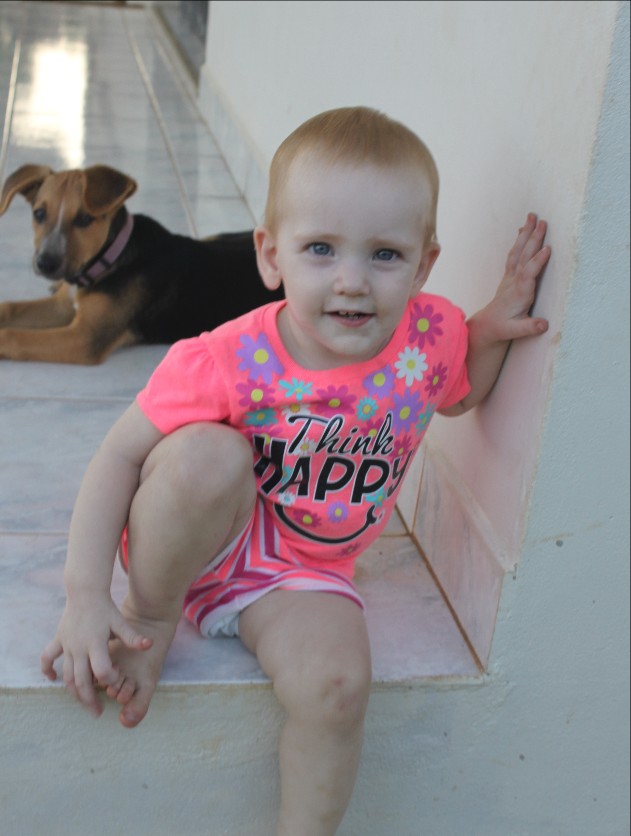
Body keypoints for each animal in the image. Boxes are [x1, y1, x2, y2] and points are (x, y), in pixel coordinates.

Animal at [0, 165, 282, 364]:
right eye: (39, 214)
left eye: (84, 219)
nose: (45, 264)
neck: (113, 258)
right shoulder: (64, 307)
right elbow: (11, 308)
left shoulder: (85, 337)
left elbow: (16, 335)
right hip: (224, 237)